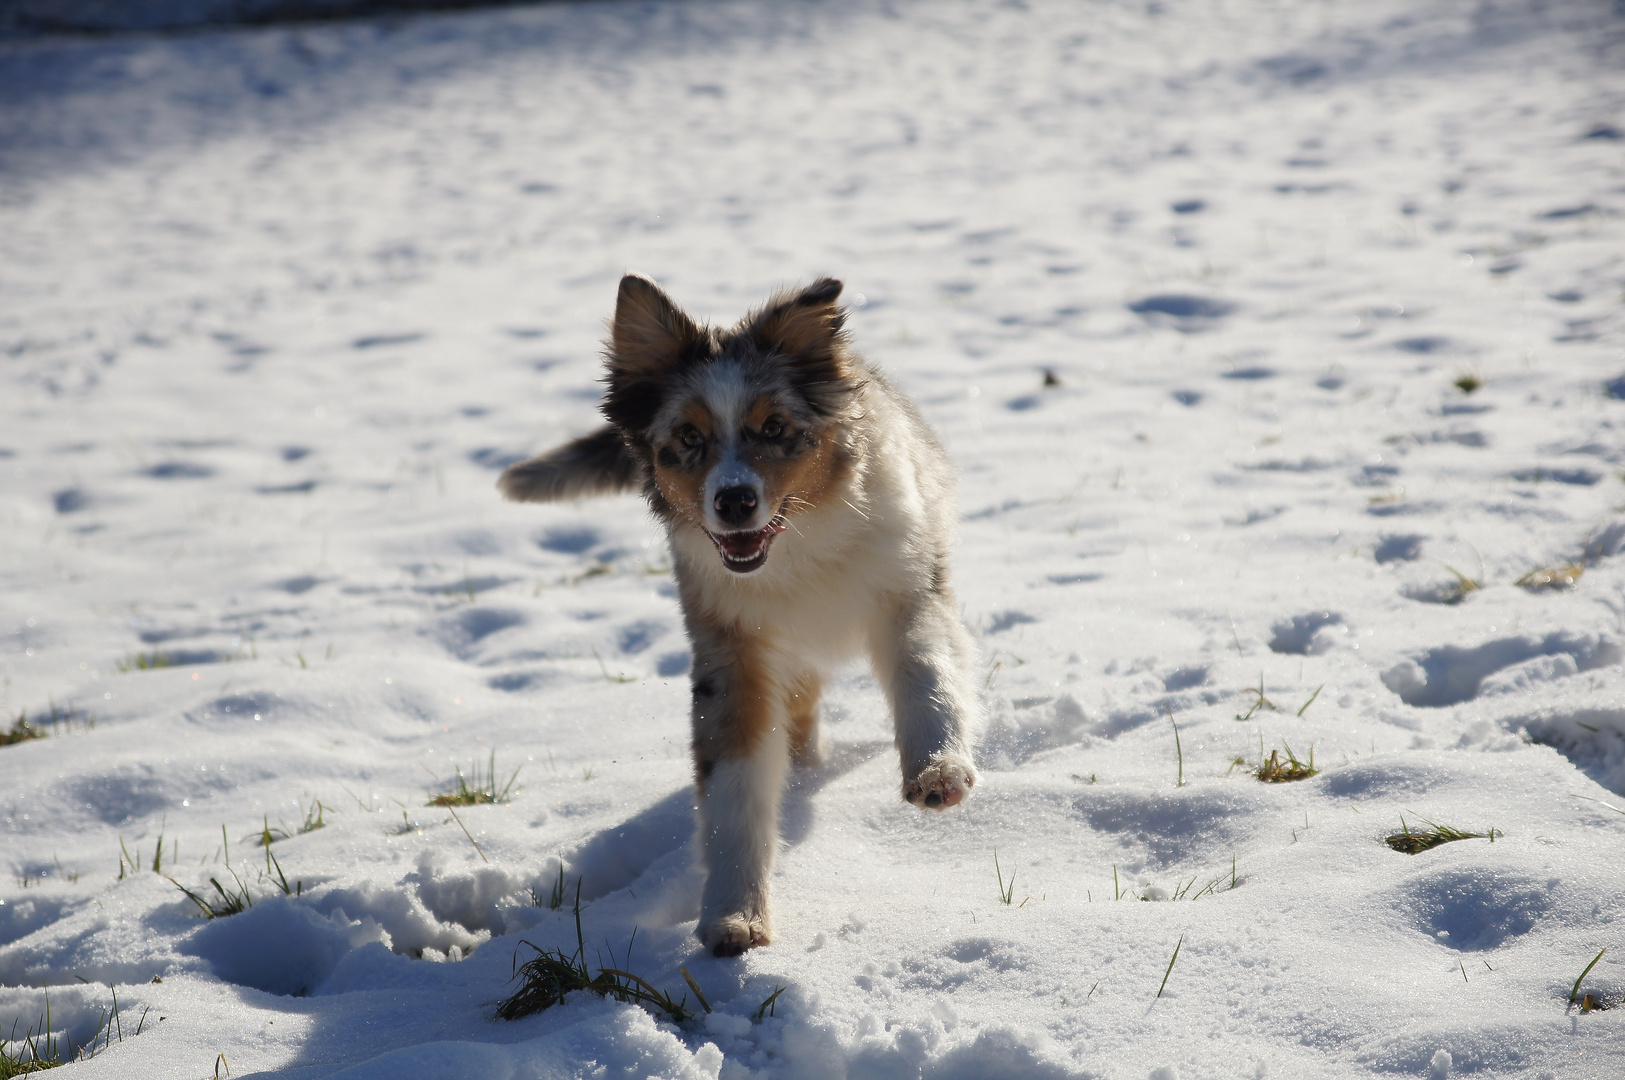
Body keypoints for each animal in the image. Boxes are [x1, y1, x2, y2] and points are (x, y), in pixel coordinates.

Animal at [494, 276, 975, 954]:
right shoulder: (732, 650)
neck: (800, 549)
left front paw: (938, 771)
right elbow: (734, 790)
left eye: (773, 428)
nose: (735, 500)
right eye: (689, 439)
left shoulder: (908, 589)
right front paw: (733, 917)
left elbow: (925, 674)